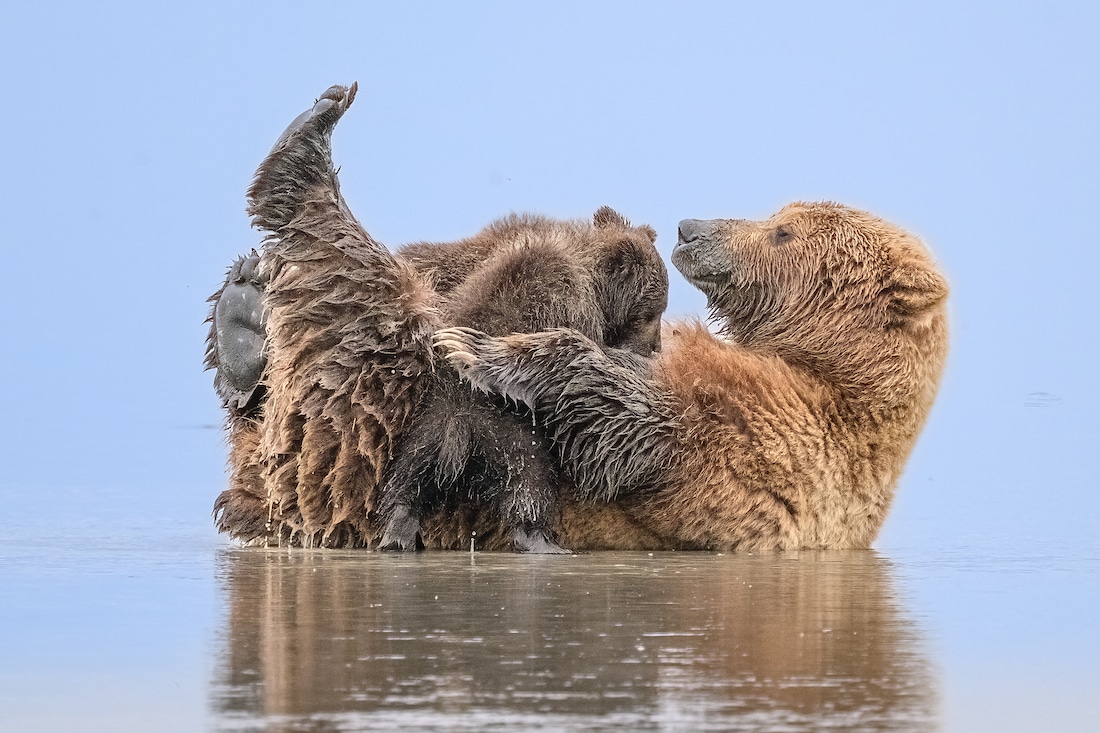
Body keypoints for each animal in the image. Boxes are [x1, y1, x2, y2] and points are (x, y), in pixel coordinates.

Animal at [209, 84, 664, 548]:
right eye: (654, 312)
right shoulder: (568, 295)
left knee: (404, 484)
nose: (654, 347)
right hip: (504, 436)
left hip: (419, 440)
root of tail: (456, 441)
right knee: (529, 481)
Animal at [433, 200, 950, 548]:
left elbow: (630, 420)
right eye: (778, 214)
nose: (689, 228)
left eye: (783, 232)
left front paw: (483, 350)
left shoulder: (769, 446)